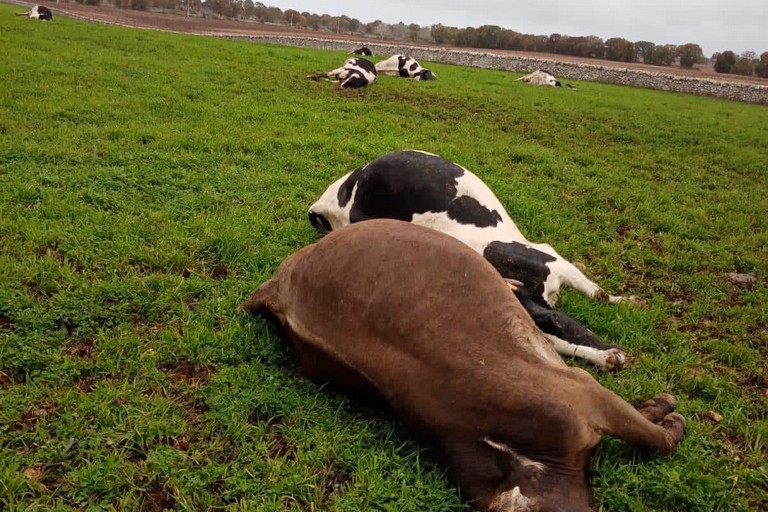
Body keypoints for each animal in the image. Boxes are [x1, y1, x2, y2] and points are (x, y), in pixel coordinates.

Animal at [308, 148, 640, 368]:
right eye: (546, 331)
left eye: (556, 322)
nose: (616, 358)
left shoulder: (550, 258)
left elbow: (597, 293)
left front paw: (627, 302)